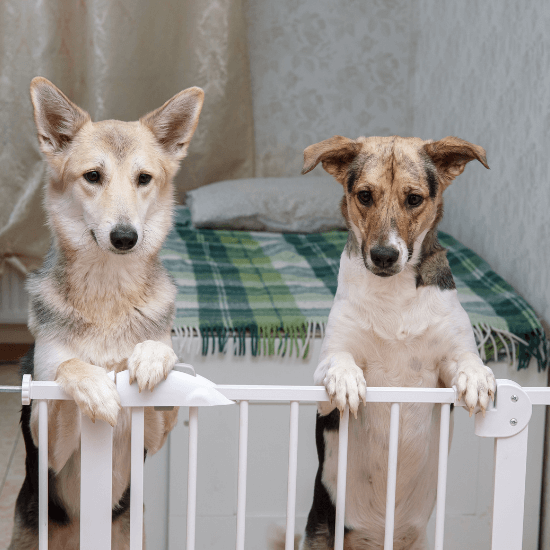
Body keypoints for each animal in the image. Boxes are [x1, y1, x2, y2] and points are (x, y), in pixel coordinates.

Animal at [9, 77, 205, 550]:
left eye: (144, 179)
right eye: (93, 177)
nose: (124, 237)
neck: (108, 294)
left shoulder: (151, 435)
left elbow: (160, 364)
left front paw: (149, 359)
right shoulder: (48, 440)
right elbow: (69, 366)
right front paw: (96, 385)